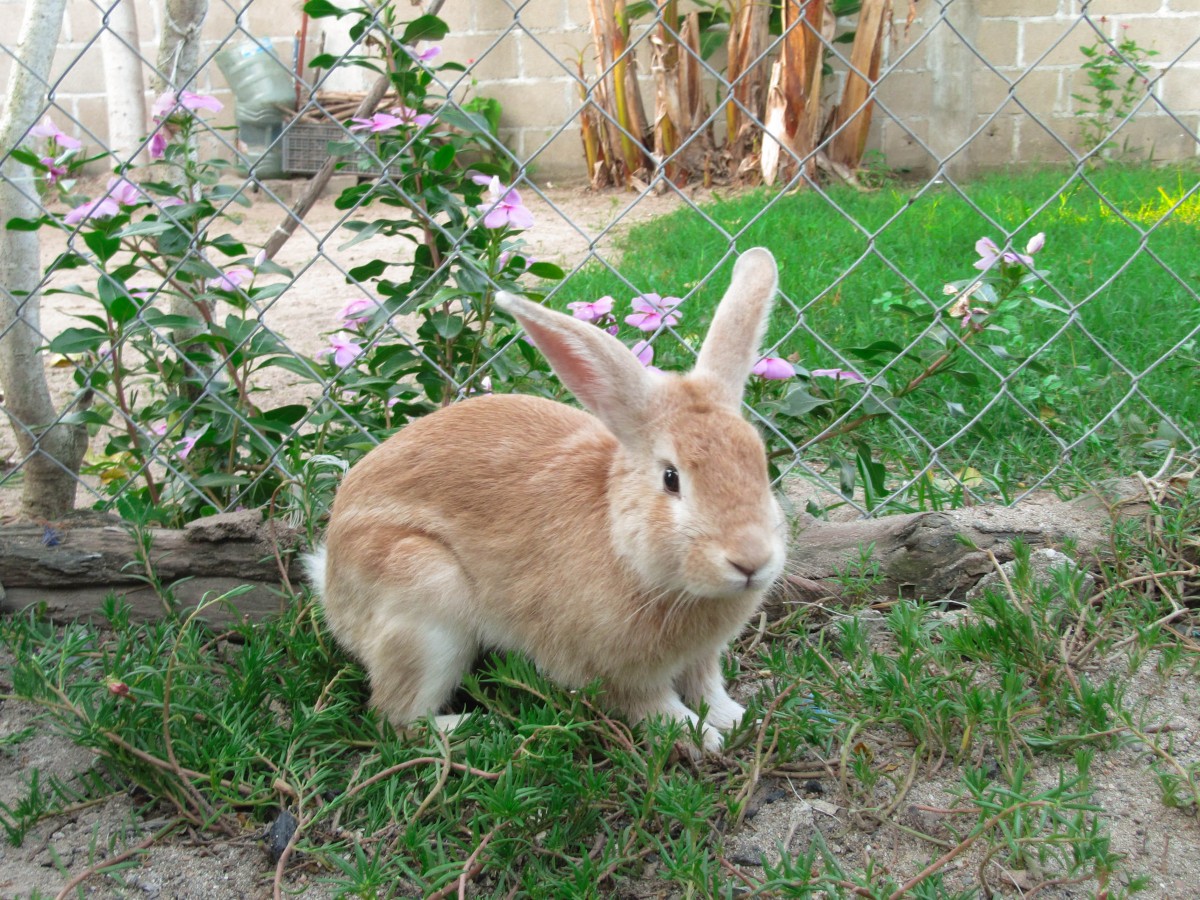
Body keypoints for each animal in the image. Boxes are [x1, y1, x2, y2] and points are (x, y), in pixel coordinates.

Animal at [307, 247, 787, 753]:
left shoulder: (702, 659)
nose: (751, 560)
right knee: (394, 719)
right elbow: (654, 707)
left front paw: (739, 720)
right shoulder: (616, 673)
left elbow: (708, 688)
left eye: (760, 464)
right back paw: (475, 727)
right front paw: (701, 738)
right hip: (422, 599)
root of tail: (330, 580)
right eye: (671, 479)